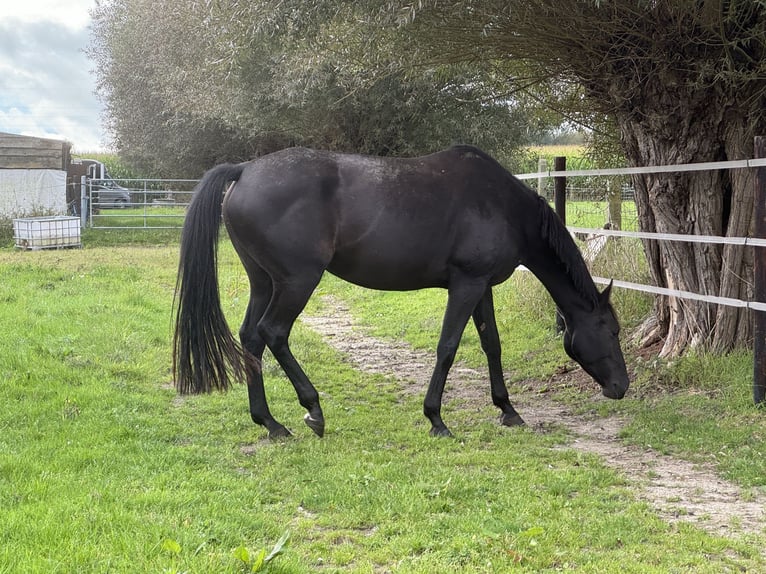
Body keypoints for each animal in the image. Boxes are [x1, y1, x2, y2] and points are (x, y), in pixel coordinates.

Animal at [174, 146, 632, 438]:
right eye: (611, 331)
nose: (621, 387)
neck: (503, 206)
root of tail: (245, 170)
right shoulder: (465, 285)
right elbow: (448, 347)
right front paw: (436, 419)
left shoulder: (481, 286)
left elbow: (492, 345)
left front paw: (508, 409)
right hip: (297, 282)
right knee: (274, 333)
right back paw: (313, 411)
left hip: (263, 282)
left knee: (251, 338)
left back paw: (270, 424)